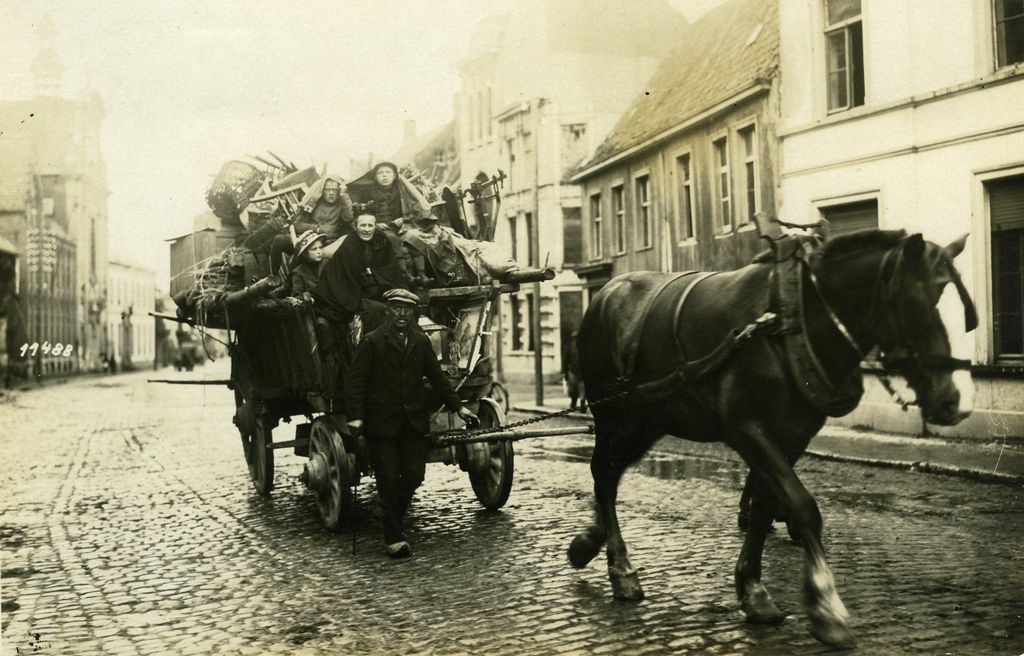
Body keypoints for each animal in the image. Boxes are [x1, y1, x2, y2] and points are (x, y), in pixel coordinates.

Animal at [569, 227, 974, 646]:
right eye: (919, 302)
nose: (955, 400)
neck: (792, 322)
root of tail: (606, 291)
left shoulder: (791, 436)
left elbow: (764, 508)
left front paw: (753, 590)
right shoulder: (748, 430)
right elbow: (802, 505)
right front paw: (825, 605)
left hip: (648, 421)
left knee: (611, 475)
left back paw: (590, 540)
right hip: (613, 416)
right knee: (604, 476)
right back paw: (621, 569)